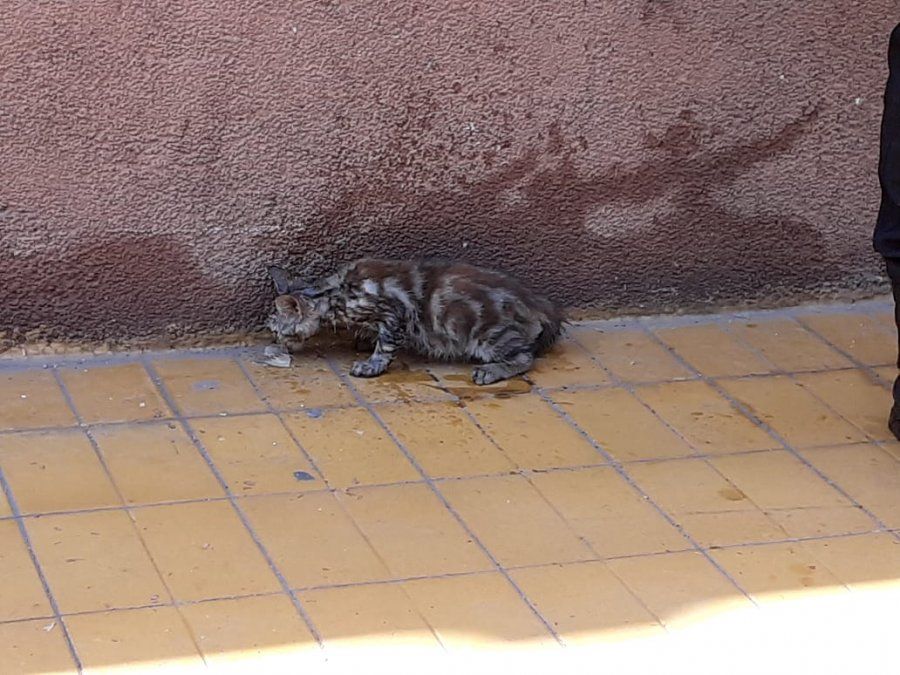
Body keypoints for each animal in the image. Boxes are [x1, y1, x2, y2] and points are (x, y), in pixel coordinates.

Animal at [266, 258, 565, 385]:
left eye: (278, 330)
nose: (275, 341)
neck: (335, 292)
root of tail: (540, 303)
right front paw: (363, 340)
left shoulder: (394, 312)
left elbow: (386, 346)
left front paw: (371, 364)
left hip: (489, 335)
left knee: (525, 357)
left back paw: (492, 371)